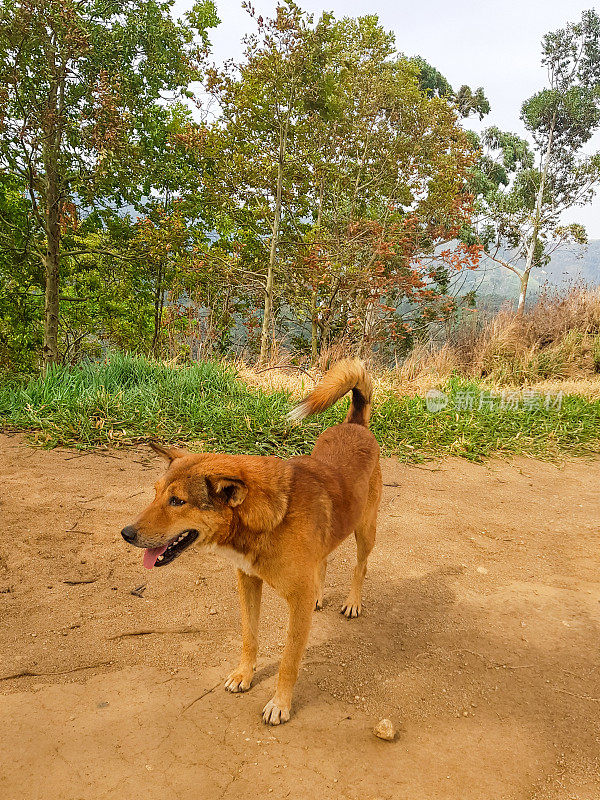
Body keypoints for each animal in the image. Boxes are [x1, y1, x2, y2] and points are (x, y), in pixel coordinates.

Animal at [121, 360, 382, 724]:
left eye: (177, 501)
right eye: (156, 493)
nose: (127, 533)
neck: (268, 517)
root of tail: (355, 425)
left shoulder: (295, 604)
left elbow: (289, 661)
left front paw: (281, 703)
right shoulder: (247, 581)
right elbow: (249, 636)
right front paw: (244, 674)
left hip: (365, 529)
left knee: (360, 566)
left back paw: (353, 602)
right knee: (325, 559)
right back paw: (319, 595)